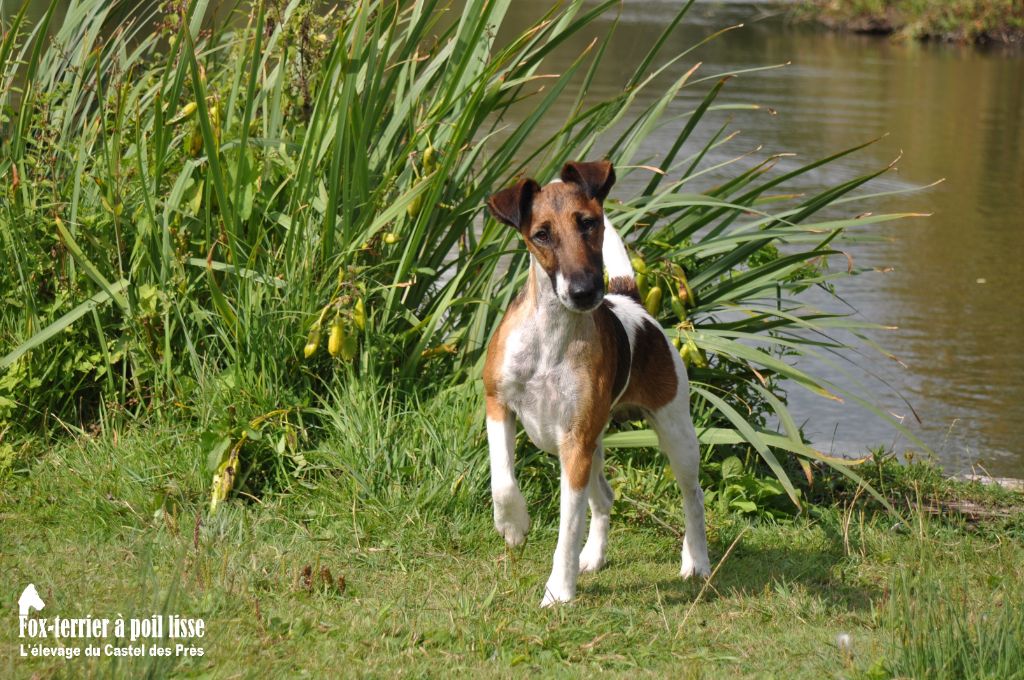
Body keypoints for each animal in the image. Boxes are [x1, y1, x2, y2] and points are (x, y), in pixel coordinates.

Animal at [481, 161, 708, 606]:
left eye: (588, 223)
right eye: (541, 235)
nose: (585, 291)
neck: (550, 337)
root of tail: (632, 300)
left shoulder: (575, 443)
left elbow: (568, 529)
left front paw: (559, 591)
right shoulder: (498, 404)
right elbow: (502, 480)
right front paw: (514, 524)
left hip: (674, 434)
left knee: (693, 496)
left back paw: (697, 561)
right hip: (594, 444)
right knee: (604, 498)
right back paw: (594, 557)